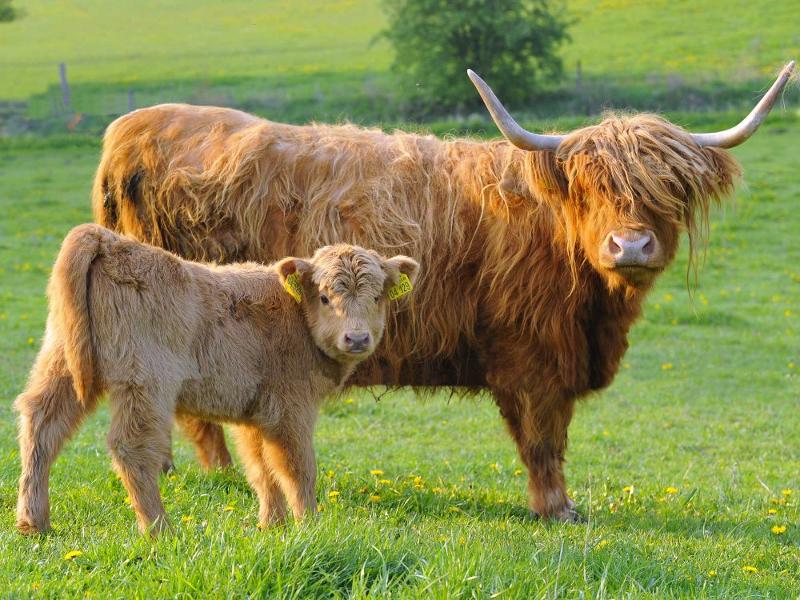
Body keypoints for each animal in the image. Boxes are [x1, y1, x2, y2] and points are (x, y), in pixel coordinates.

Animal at [14, 225, 418, 536]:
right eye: (323, 296)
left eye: (377, 296)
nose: (357, 338)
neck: (295, 318)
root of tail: (110, 240)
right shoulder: (290, 411)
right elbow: (298, 467)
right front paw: (310, 525)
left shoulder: (257, 414)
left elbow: (261, 468)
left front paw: (272, 526)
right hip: (145, 382)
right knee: (132, 448)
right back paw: (160, 530)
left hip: (62, 363)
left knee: (42, 425)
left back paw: (34, 523)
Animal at [92, 61, 792, 520]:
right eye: (589, 187)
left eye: (668, 190)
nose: (632, 246)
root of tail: (131, 128)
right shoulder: (532, 357)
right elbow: (543, 438)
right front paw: (557, 510)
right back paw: (217, 476)